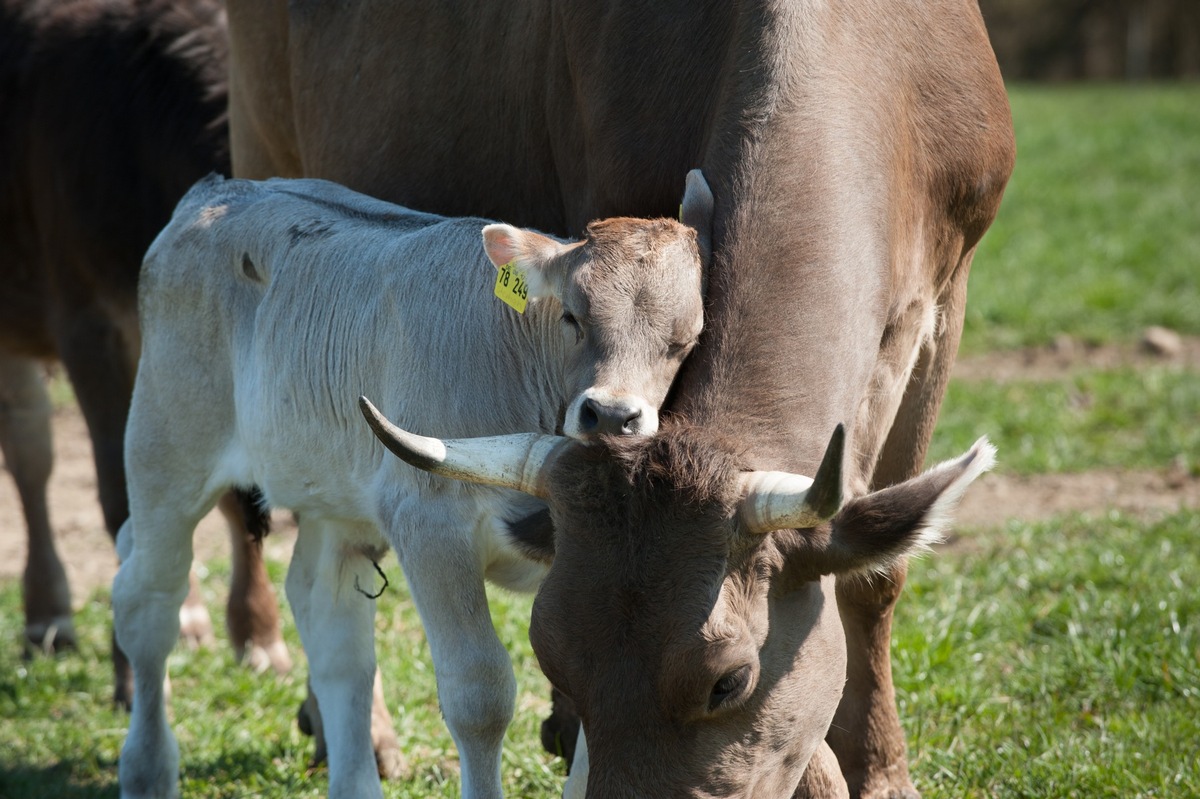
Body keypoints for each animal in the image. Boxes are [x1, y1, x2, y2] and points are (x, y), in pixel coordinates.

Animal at [112, 172, 710, 796]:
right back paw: (147, 769)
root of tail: (217, 193)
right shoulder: (429, 521)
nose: (612, 415)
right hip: (166, 446)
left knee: (331, 621)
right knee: (148, 598)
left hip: (333, 494)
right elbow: (479, 695)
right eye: (572, 317)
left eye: (685, 339)